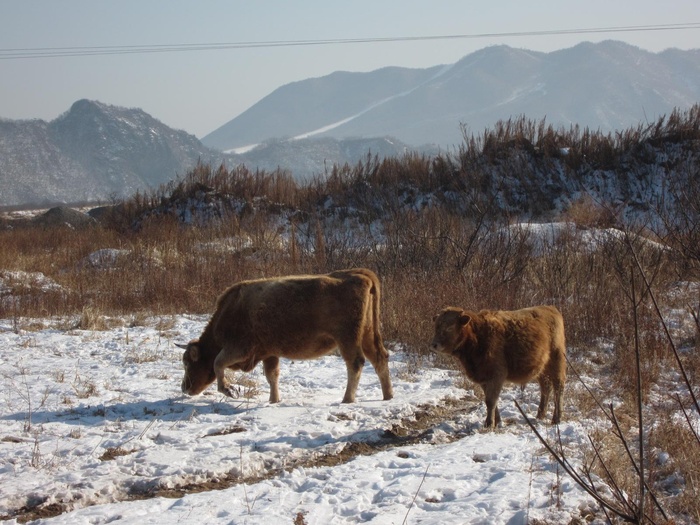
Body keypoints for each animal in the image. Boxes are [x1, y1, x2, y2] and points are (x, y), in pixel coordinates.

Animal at [176, 268, 394, 404]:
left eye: (187, 363)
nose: (184, 388)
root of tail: (358, 274)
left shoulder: (238, 349)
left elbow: (218, 363)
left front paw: (229, 390)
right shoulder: (269, 353)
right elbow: (272, 375)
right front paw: (274, 400)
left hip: (348, 339)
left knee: (355, 363)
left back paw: (347, 399)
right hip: (367, 336)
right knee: (380, 358)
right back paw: (388, 396)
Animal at [430, 304, 568, 428]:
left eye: (449, 327)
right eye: (436, 327)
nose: (434, 344)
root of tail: (550, 308)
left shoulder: (496, 375)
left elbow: (491, 401)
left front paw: (489, 424)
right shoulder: (483, 377)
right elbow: (491, 400)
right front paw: (497, 422)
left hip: (557, 360)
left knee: (558, 387)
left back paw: (556, 418)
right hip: (541, 367)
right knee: (546, 387)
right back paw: (540, 415)